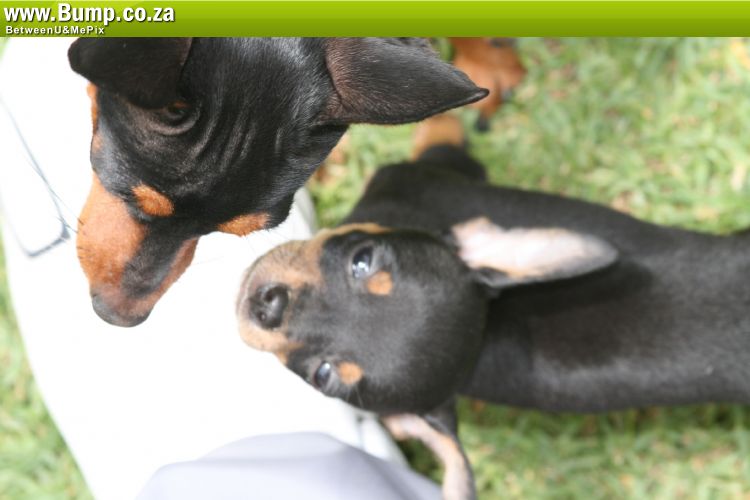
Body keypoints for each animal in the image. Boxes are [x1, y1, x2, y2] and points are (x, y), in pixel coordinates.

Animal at [235, 116, 750, 499]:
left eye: (323, 375)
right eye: (363, 260)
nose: (267, 306)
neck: (489, 332)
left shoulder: (425, 169)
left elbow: (438, 131)